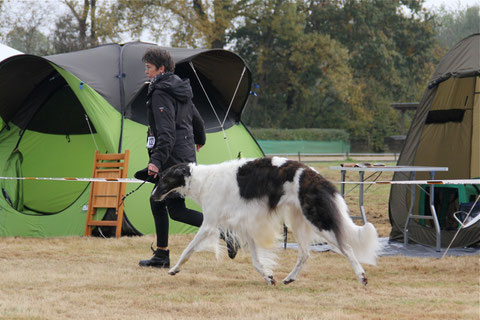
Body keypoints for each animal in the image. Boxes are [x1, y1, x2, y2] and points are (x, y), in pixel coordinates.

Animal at [152, 158, 380, 284]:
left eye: (164, 178)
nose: (152, 197)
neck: (204, 181)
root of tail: (316, 175)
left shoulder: (209, 224)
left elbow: (188, 249)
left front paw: (174, 269)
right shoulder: (245, 226)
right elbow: (256, 261)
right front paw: (269, 277)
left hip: (318, 220)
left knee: (346, 247)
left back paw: (362, 276)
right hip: (298, 221)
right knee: (305, 254)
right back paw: (289, 278)